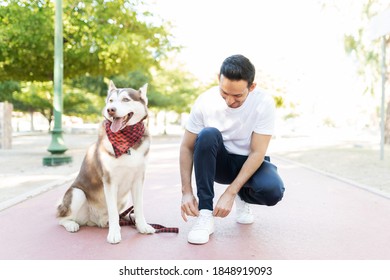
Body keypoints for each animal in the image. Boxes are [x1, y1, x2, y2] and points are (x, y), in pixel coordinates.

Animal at [57, 81, 155, 243]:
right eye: (111, 101)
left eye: (126, 99)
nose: (111, 110)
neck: (127, 142)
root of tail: (93, 220)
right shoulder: (109, 180)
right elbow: (113, 211)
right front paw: (114, 233)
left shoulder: (138, 179)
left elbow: (139, 207)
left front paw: (142, 226)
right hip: (77, 193)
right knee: (61, 219)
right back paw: (71, 224)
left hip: (123, 198)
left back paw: (112, 221)